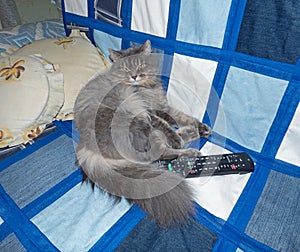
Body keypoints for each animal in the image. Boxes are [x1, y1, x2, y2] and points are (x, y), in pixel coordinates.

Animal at [74, 39, 211, 226]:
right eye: (125, 68)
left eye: (140, 64)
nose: (134, 76)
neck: (145, 88)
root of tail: (85, 147)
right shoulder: (151, 112)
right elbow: (167, 125)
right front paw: (176, 137)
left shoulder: (163, 107)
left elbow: (182, 117)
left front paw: (201, 127)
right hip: (134, 116)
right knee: (158, 152)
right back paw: (189, 149)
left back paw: (193, 133)